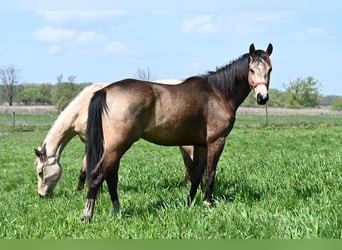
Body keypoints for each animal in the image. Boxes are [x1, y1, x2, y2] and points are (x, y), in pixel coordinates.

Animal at [80, 43, 272, 223]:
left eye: (269, 69)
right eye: (252, 69)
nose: (262, 97)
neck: (218, 93)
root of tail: (105, 90)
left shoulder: (200, 144)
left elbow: (196, 175)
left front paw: (189, 203)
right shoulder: (216, 141)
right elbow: (210, 172)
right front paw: (207, 203)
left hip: (115, 146)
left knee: (111, 177)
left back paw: (117, 212)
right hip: (118, 145)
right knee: (97, 175)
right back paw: (86, 215)